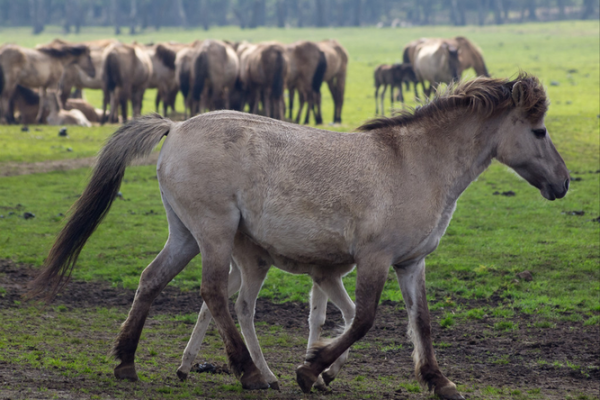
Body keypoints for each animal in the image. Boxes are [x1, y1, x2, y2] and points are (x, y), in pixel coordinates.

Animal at [30, 72, 568, 400]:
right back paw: (249, 372)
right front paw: (311, 369)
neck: (415, 163)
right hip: (215, 234)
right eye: (539, 131)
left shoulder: (411, 264)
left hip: (184, 234)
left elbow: (422, 323)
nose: (563, 183)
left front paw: (439, 381)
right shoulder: (374, 259)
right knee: (215, 294)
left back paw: (126, 362)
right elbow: (363, 319)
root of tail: (176, 127)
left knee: (151, 280)